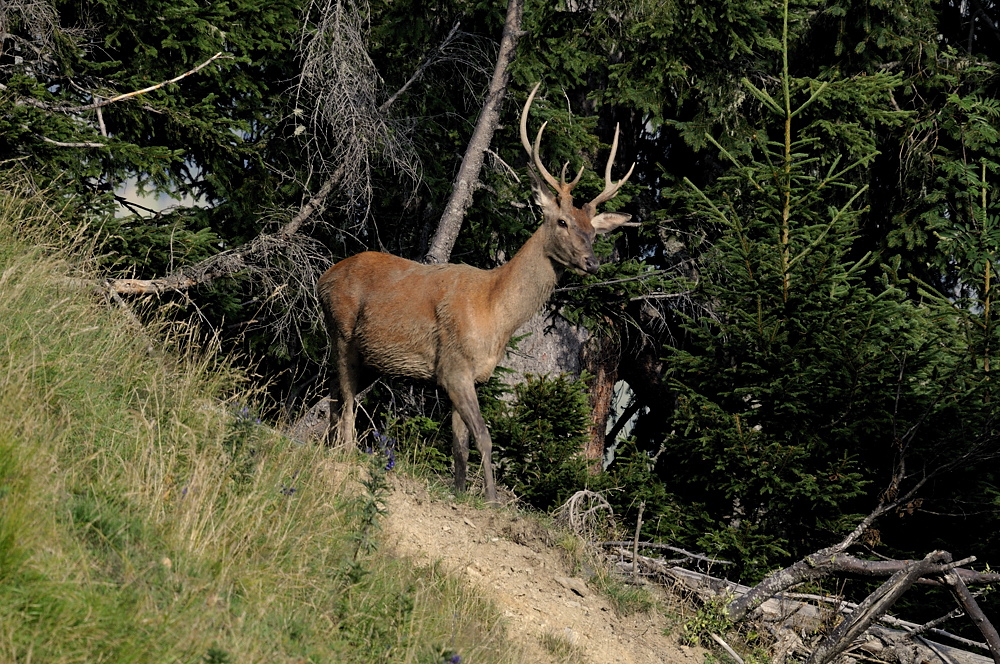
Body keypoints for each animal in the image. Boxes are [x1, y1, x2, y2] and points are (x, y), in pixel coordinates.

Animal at [316, 84, 636, 504]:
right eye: (563, 221)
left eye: (594, 231)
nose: (592, 263)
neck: (494, 312)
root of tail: (323, 278)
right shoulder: (453, 365)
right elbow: (484, 437)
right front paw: (492, 498)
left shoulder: (469, 374)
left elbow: (460, 444)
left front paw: (459, 490)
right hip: (340, 329)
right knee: (347, 398)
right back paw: (347, 452)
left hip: (365, 354)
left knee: (335, 396)